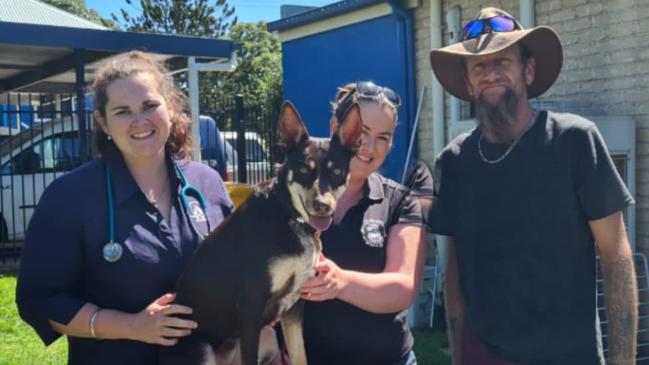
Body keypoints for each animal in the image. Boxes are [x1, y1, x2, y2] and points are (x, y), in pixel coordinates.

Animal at [161, 100, 362, 364]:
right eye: (303, 169)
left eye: (337, 172)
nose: (322, 205)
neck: (289, 216)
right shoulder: (251, 307)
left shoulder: (294, 304)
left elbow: (300, 356)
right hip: (203, 350)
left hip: (268, 337)